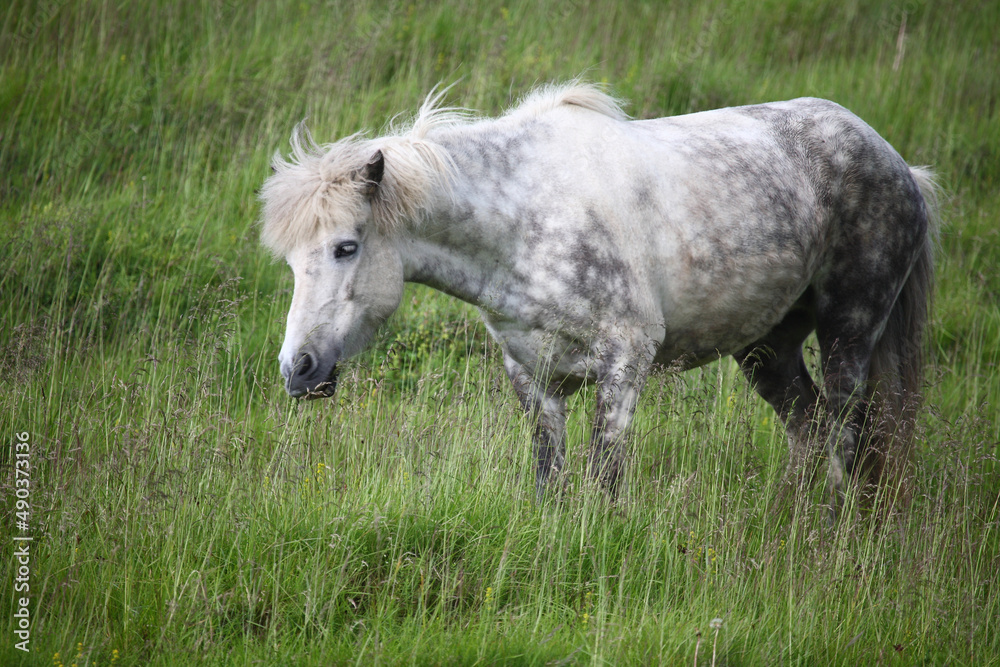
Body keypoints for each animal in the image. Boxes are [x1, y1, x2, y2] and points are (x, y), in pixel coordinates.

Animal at [259, 82, 938, 514]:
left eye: (346, 247)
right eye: (291, 261)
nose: (298, 371)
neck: (525, 221)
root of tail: (900, 166)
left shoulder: (624, 363)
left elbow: (605, 478)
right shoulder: (533, 376)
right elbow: (551, 480)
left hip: (849, 331)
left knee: (846, 432)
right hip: (766, 347)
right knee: (810, 427)